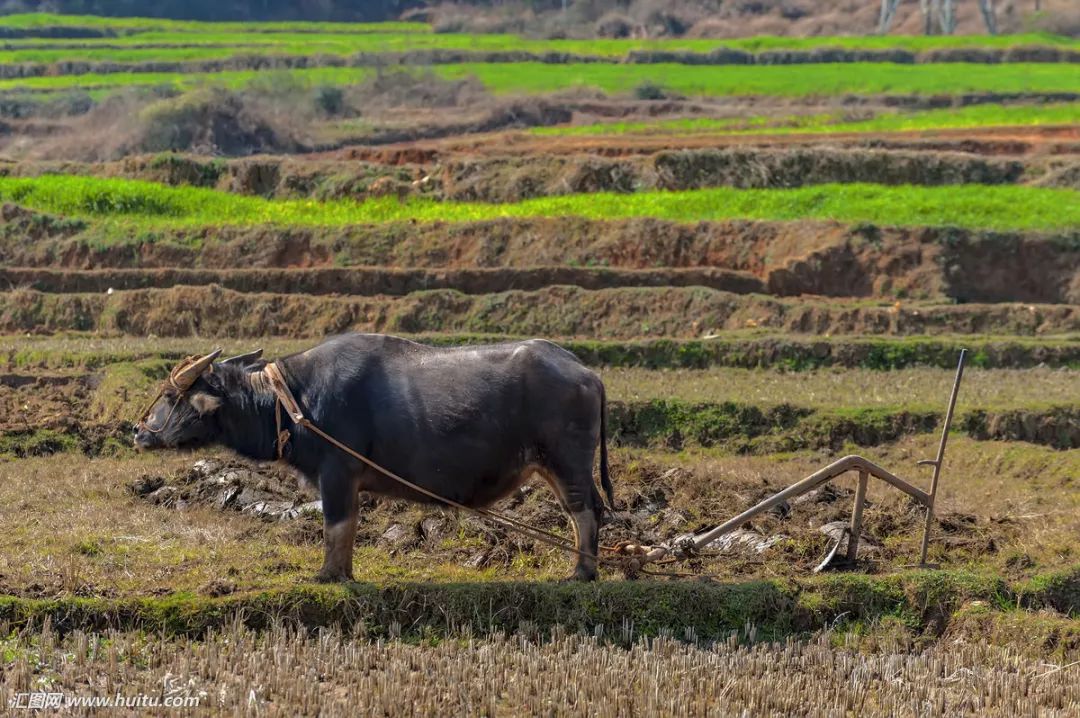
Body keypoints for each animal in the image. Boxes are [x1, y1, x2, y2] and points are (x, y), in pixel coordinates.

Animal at [130, 332, 613, 578]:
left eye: (170, 394)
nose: (138, 432)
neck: (294, 402)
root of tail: (586, 372)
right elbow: (349, 528)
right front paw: (342, 572)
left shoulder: (338, 473)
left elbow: (337, 525)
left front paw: (328, 576)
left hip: (566, 462)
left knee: (584, 512)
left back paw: (581, 574)